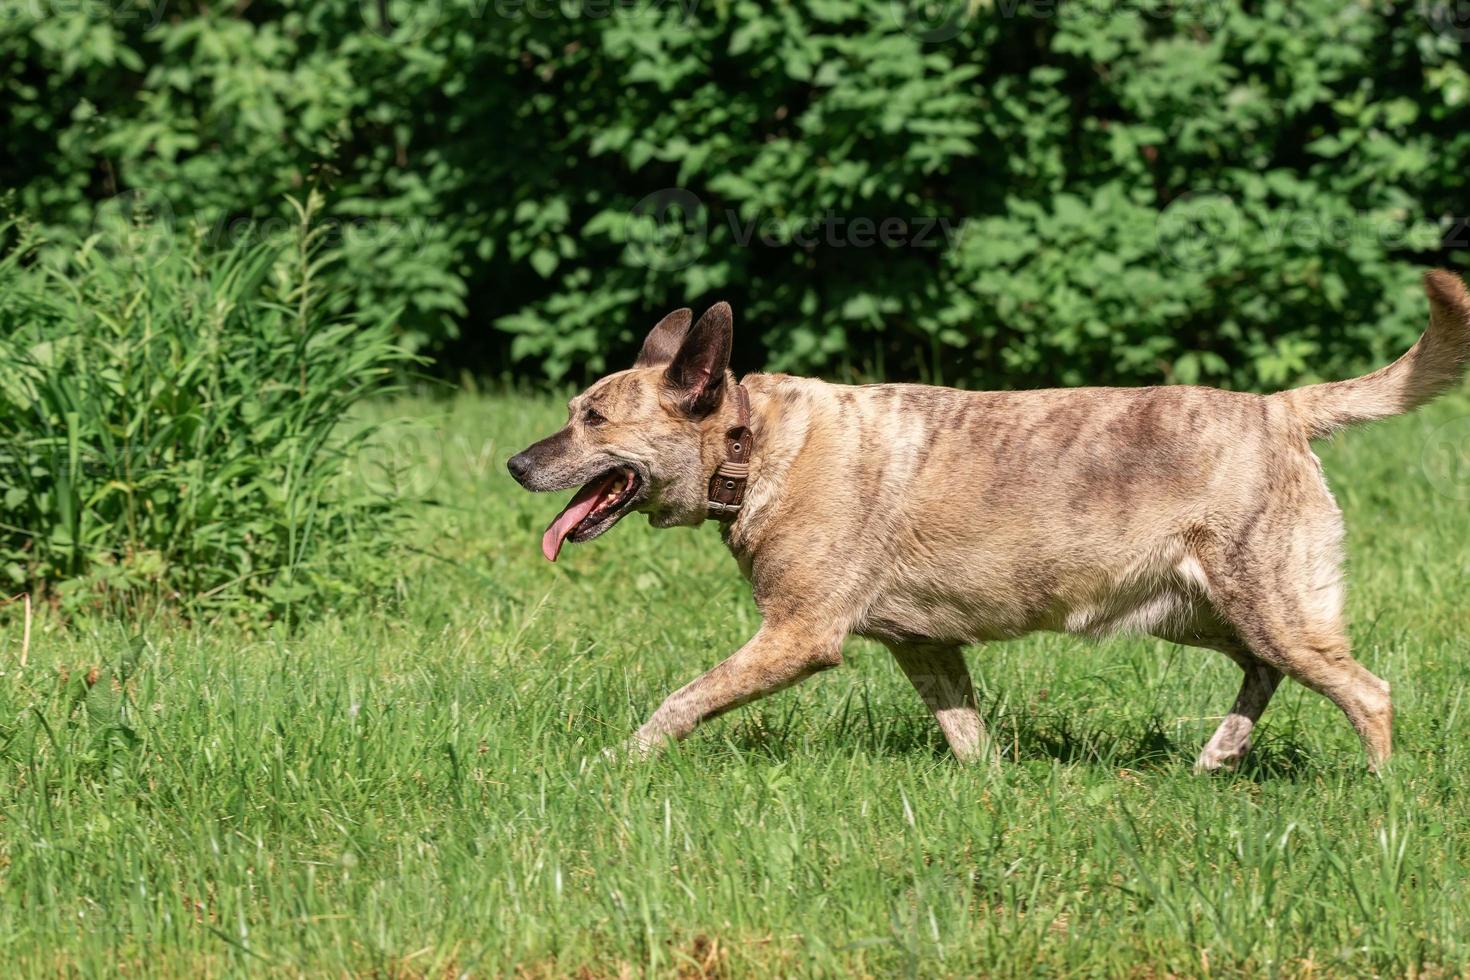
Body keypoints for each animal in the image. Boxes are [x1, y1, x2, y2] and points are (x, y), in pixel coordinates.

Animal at [508, 270, 1470, 775]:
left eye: (592, 419)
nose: (516, 464)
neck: (751, 443)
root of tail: (1280, 408)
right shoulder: (924, 647)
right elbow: (964, 730)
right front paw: (991, 787)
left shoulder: (798, 635)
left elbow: (682, 699)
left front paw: (618, 761)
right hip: (1200, 611)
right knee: (1263, 675)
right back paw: (1216, 757)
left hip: (1269, 603)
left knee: (1367, 692)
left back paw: (1378, 792)